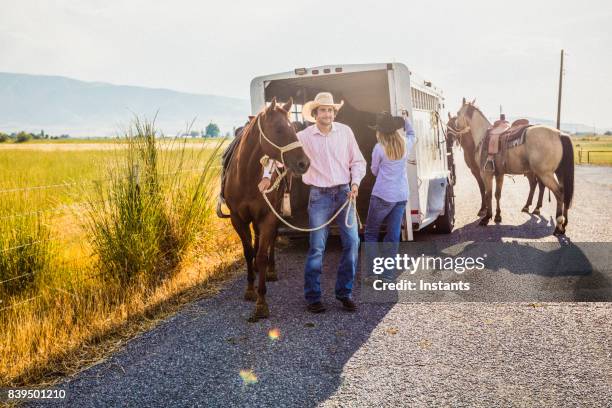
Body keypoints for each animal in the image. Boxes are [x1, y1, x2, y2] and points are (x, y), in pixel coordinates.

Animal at [221, 97, 310, 320]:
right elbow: (248, 252)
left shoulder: (268, 216)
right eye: (279, 129)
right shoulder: (238, 219)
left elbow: (261, 254)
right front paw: (250, 289)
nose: (304, 163)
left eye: (294, 129)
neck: (245, 176)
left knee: (269, 242)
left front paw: (261, 302)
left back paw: (271, 270)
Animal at [454, 97, 572, 236]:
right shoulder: (499, 174)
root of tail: (560, 134)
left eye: (457, 113)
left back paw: (558, 225)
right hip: (557, 173)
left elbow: (488, 194)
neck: (483, 136)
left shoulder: (486, 174)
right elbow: (497, 194)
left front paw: (487, 217)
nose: (456, 126)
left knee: (558, 193)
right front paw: (497, 216)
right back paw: (562, 224)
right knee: (560, 191)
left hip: (545, 174)